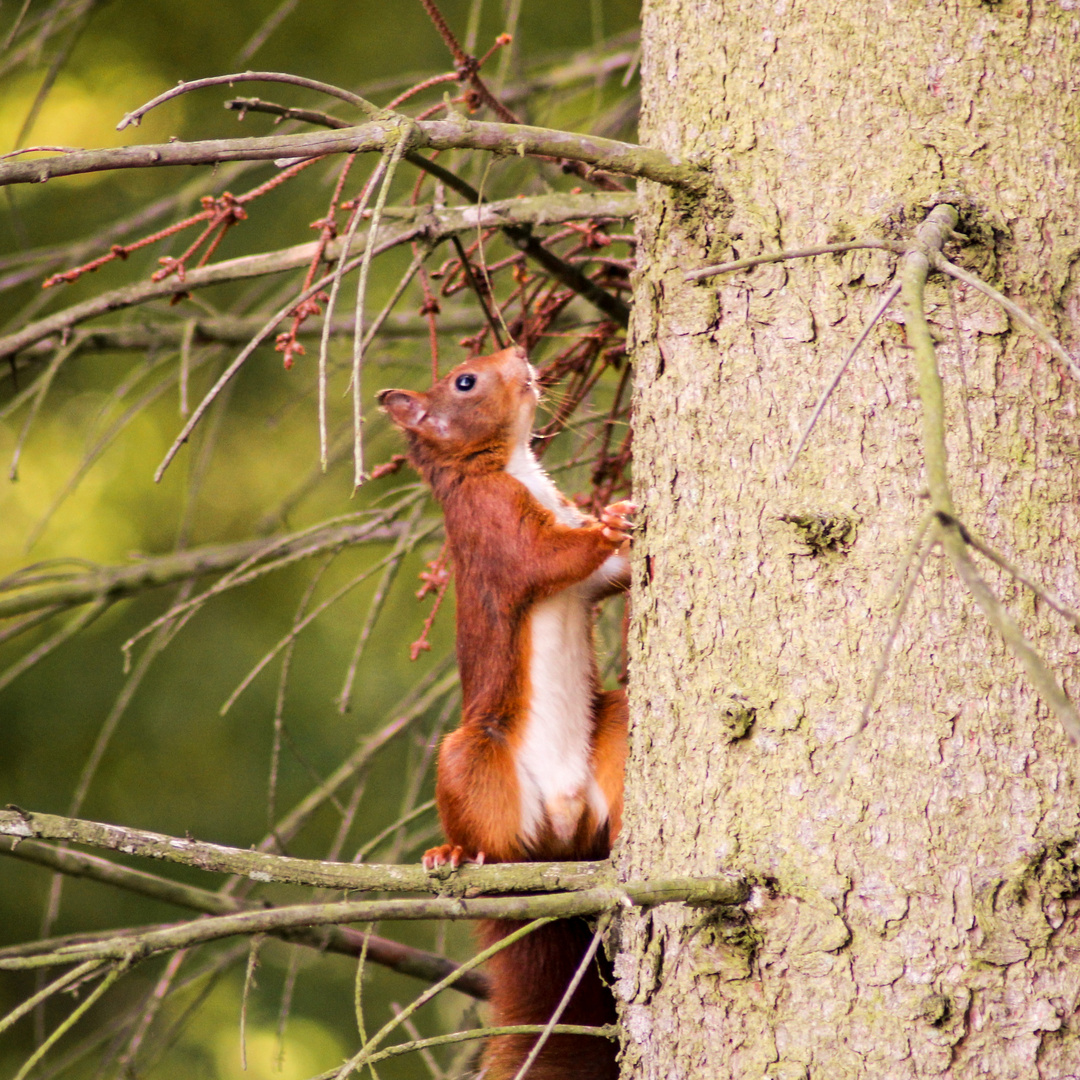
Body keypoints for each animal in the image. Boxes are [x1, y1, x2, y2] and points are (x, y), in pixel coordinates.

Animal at [380, 343, 630, 1080]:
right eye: (465, 380)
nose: (519, 351)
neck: (510, 464)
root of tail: (556, 847)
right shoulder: (493, 529)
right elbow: (547, 558)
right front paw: (614, 521)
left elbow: (603, 576)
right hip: (474, 759)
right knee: (487, 840)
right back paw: (453, 853)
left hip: (612, 730)